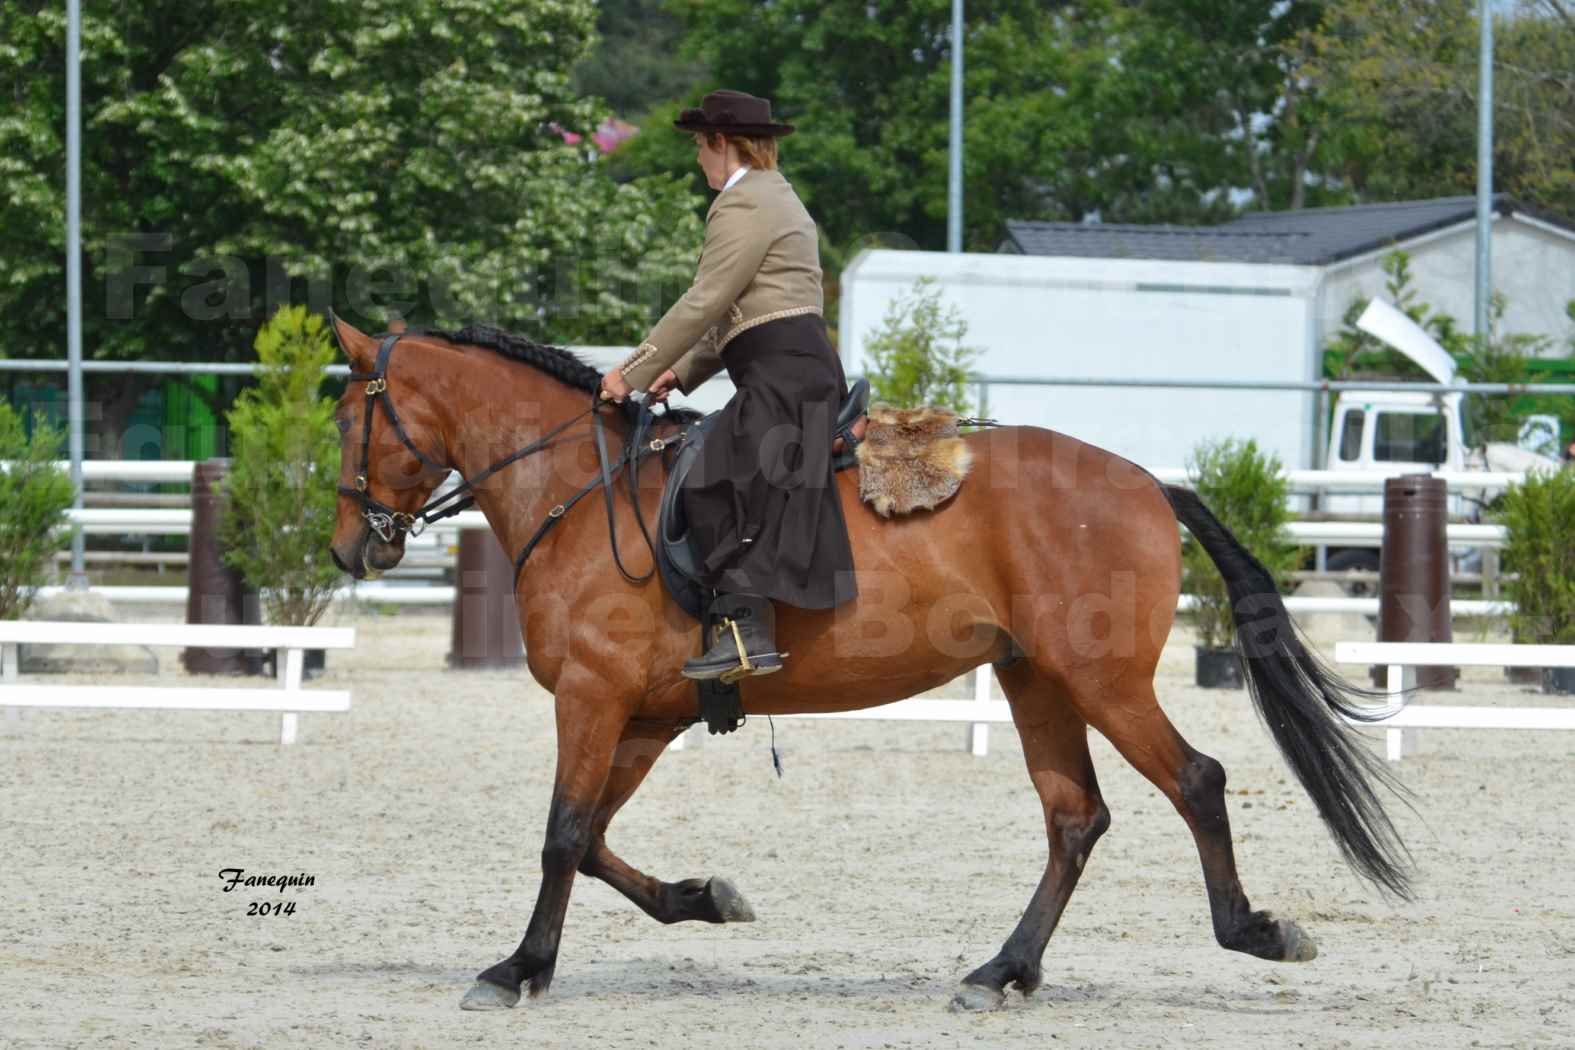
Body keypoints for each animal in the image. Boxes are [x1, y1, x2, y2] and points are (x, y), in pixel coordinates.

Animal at [326, 316, 1411, 1013]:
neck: (583, 493)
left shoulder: (593, 701)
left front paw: (517, 969)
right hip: (1036, 681)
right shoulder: (639, 716)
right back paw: (1003, 971)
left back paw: (1254, 932)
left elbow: (559, 836)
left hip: (1102, 680)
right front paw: (702, 899)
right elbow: (590, 838)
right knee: (1074, 819)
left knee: (1195, 780)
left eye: (347, 421)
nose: (348, 548)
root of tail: (1149, 482)